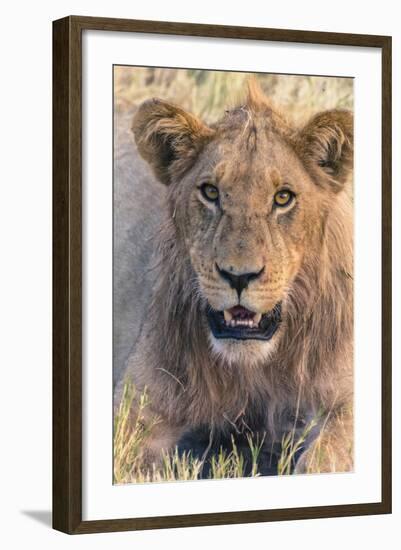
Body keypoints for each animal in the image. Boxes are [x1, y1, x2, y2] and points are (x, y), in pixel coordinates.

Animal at [113, 81, 354, 478]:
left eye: (283, 197)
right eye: (210, 192)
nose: (238, 276)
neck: (253, 371)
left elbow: (327, 457)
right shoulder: (137, 409)